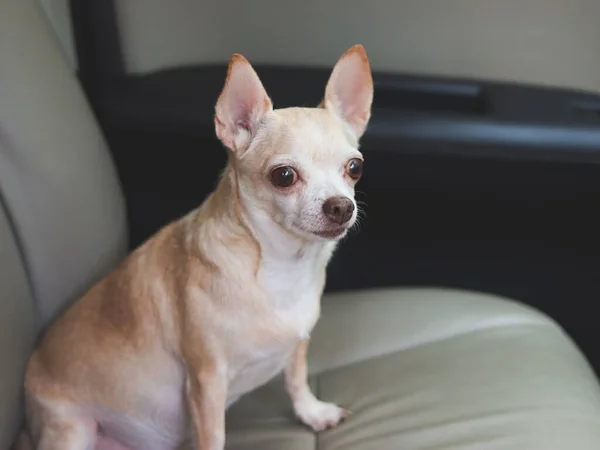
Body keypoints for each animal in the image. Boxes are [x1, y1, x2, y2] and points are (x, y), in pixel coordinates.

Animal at [19, 43, 370, 450]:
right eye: (284, 176)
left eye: (355, 168)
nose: (341, 206)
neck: (280, 266)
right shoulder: (206, 381)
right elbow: (213, 435)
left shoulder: (296, 345)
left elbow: (296, 379)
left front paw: (312, 412)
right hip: (71, 430)